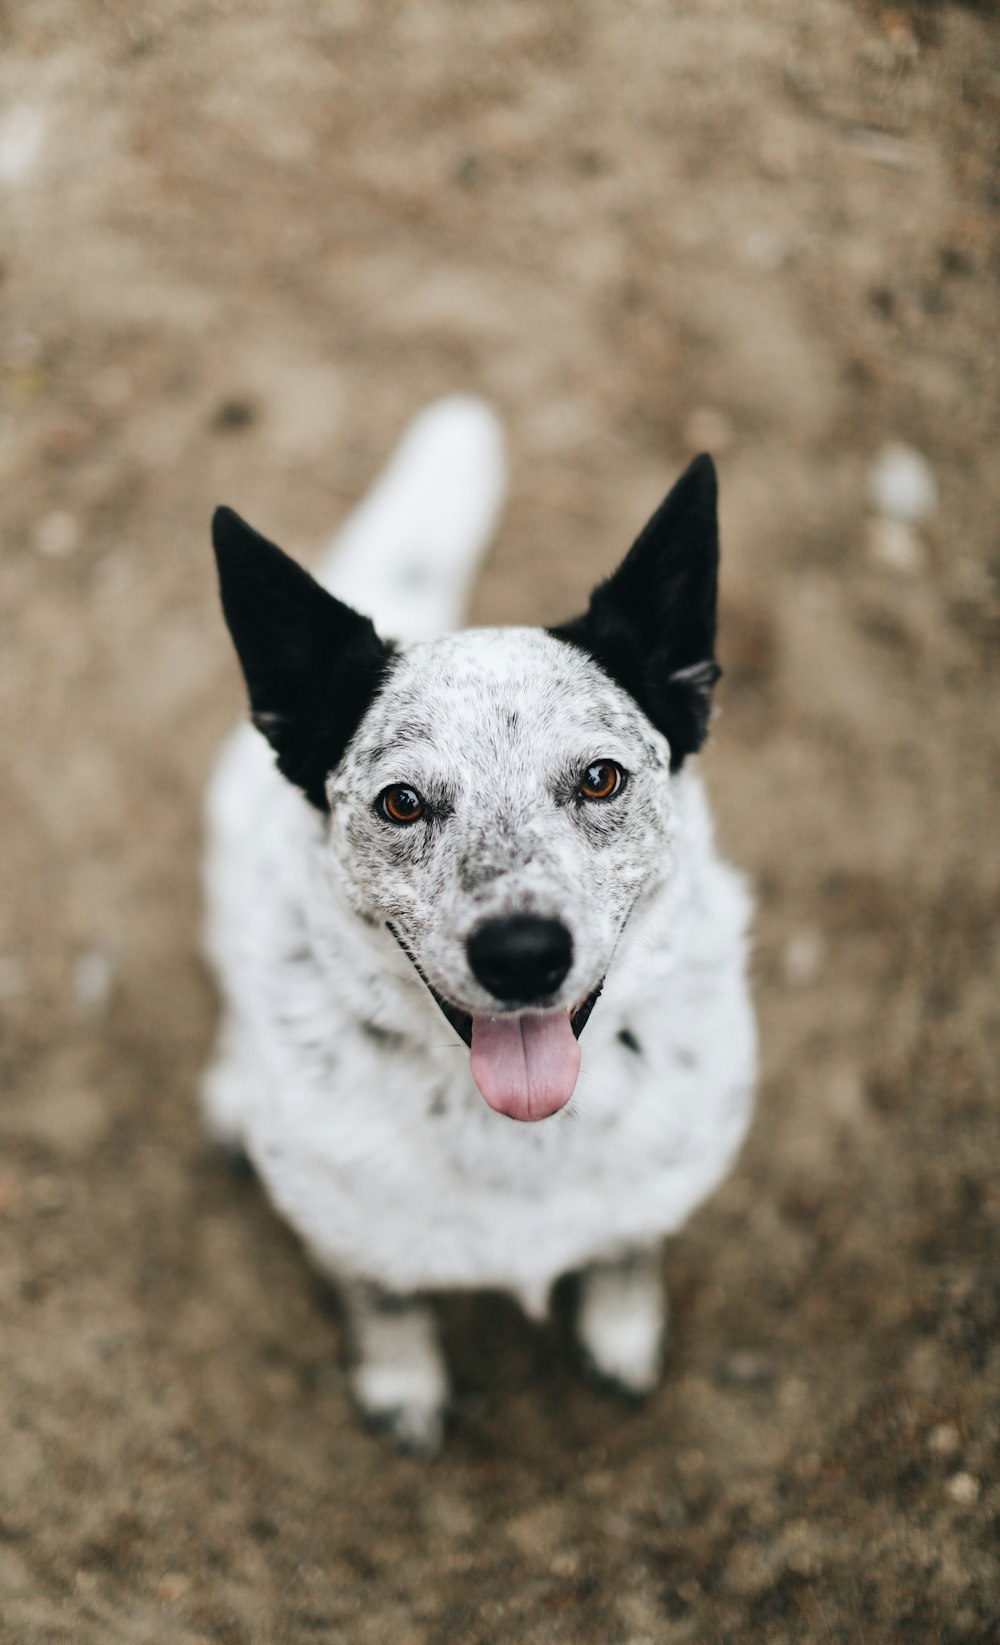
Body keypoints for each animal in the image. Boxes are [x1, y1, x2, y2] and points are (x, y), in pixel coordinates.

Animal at [201, 398, 750, 1454]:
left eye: (601, 778)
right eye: (402, 802)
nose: (523, 955)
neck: (515, 1136)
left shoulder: (657, 1192)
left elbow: (627, 1248)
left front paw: (621, 1330)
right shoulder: (349, 1232)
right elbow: (386, 1300)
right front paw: (402, 1383)